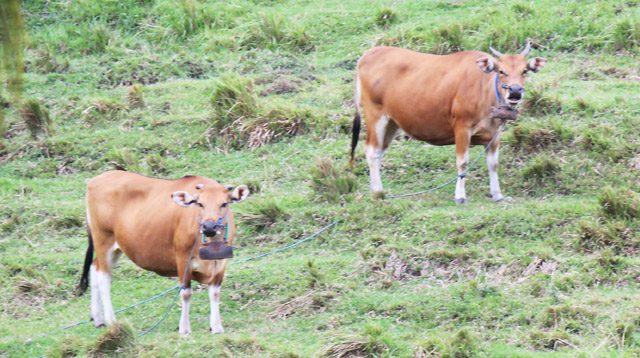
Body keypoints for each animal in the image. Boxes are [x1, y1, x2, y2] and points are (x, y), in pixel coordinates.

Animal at [350, 42, 544, 203]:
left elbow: (493, 164)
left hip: (392, 122)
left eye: (524, 71)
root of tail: (368, 54)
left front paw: (497, 195)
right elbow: (462, 162)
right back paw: (377, 193)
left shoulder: (494, 135)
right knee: (372, 151)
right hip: (375, 115)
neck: (484, 90)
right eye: (501, 71)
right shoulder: (462, 127)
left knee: (379, 151)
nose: (515, 91)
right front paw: (460, 196)